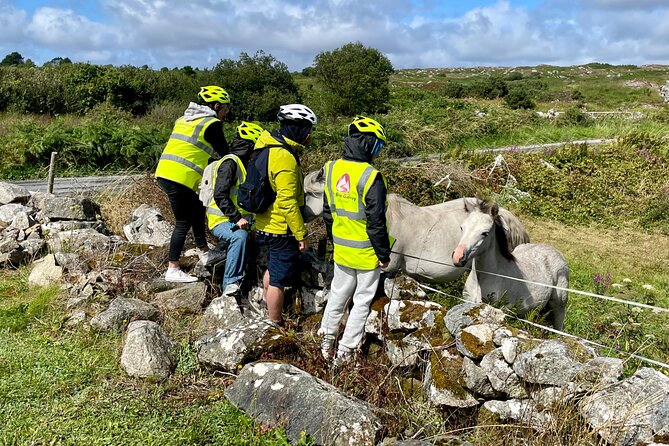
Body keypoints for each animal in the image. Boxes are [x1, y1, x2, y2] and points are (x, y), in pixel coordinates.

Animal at [452, 200, 568, 330]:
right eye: (462, 227)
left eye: (485, 233)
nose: (457, 257)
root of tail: (556, 252)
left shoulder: (504, 311)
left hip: (559, 304)